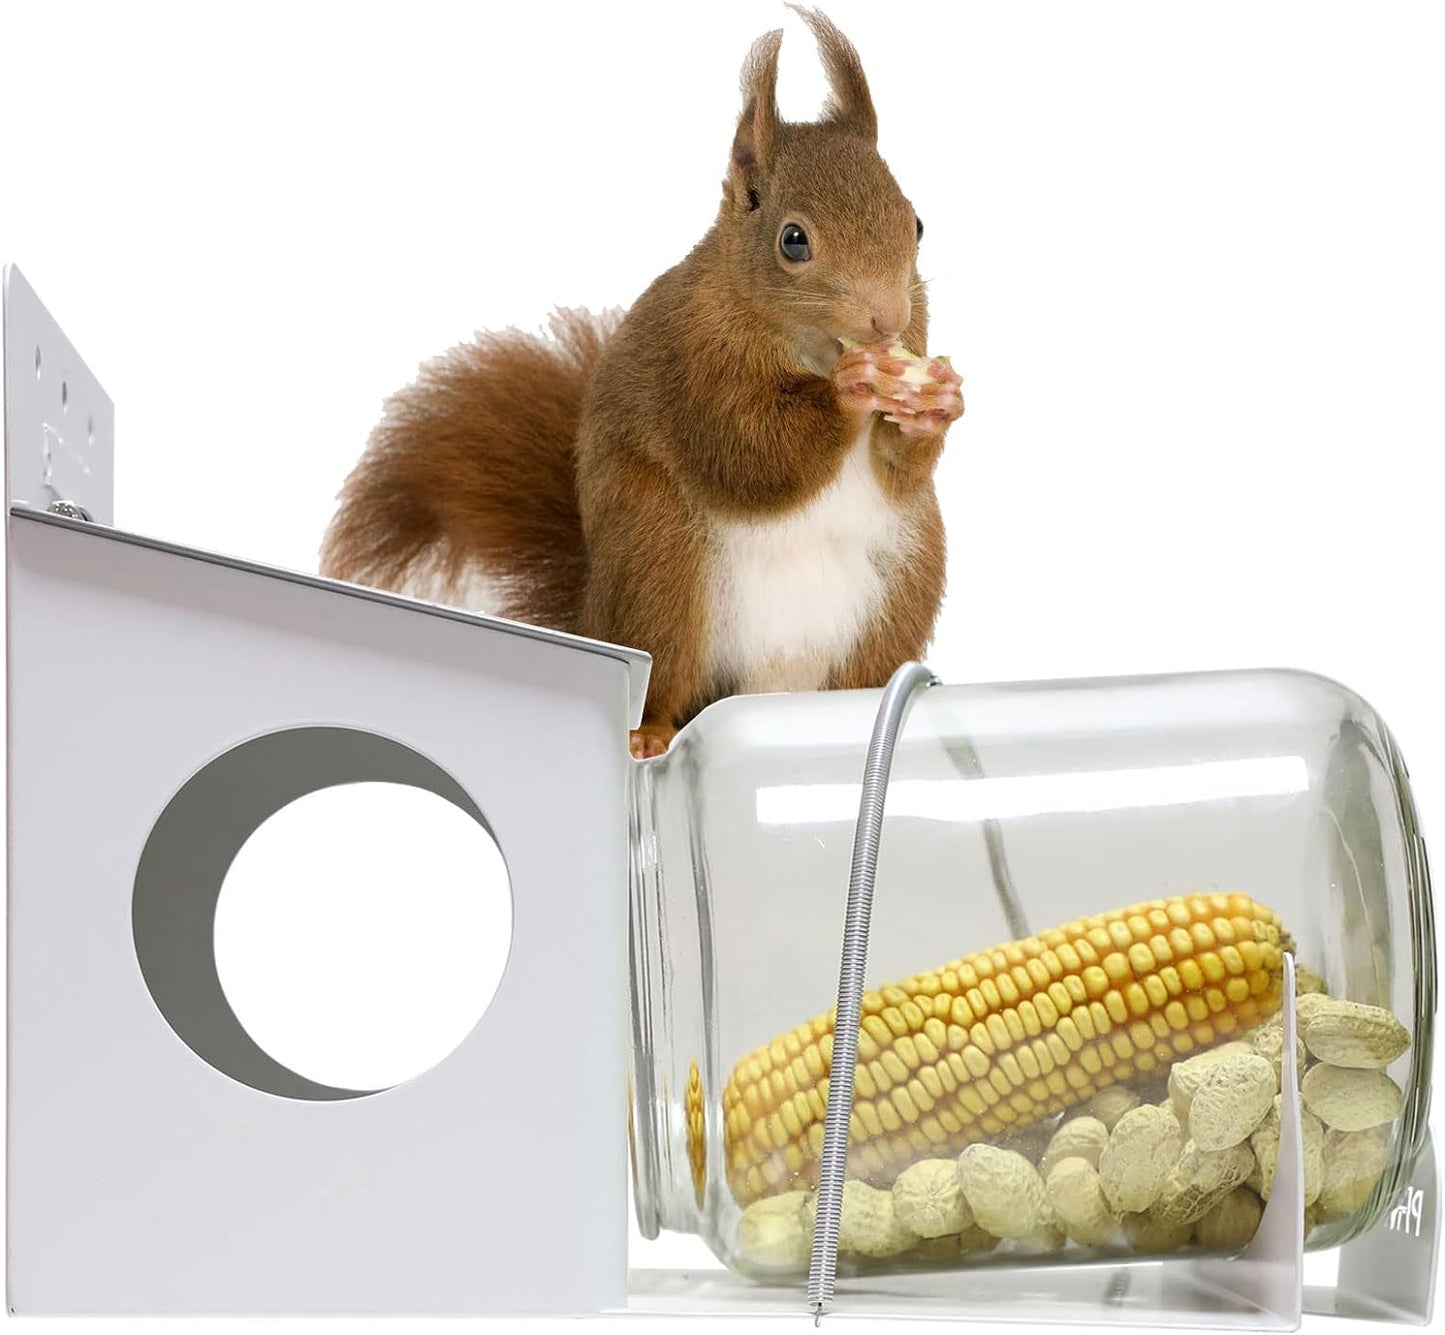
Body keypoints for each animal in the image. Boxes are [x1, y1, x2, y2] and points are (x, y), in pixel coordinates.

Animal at [319, 6, 963, 759]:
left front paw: (938, 400)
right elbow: (746, 450)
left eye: (916, 223)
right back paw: (653, 728)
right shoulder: (692, 363)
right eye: (793, 240)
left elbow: (900, 469)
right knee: (665, 679)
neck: (807, 347)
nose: (887, 319)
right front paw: (848, 388)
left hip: (901, 588)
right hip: (660, 566)